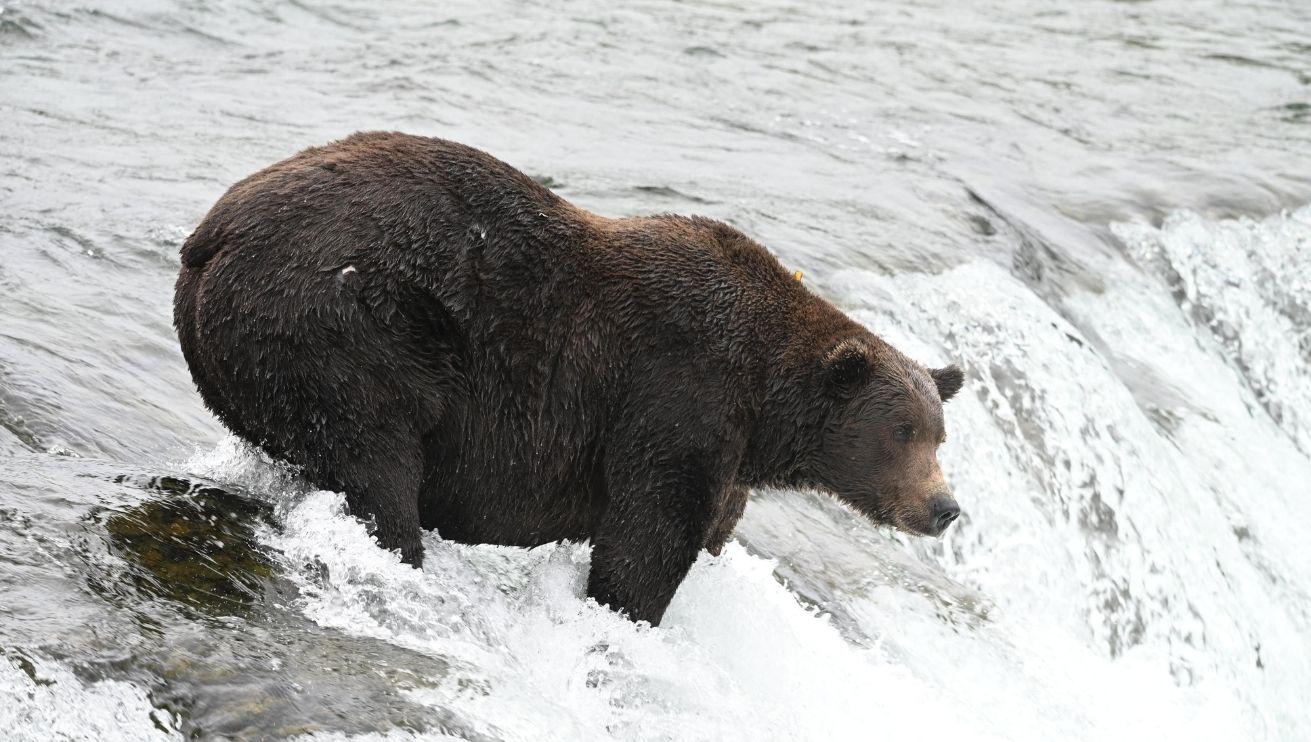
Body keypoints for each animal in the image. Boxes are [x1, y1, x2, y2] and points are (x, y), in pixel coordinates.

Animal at [174, 132, 965, 625]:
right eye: (902, 432)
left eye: (939, 435)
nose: (944, 507)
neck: (767, 404)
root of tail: (213, 232)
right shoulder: (678, 396)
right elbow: (648, 538)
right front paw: (626, 614)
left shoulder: (729, 450)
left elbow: (709, 527)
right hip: (346, 324)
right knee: (378, 457)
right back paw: (401, 547)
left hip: (249, 356)